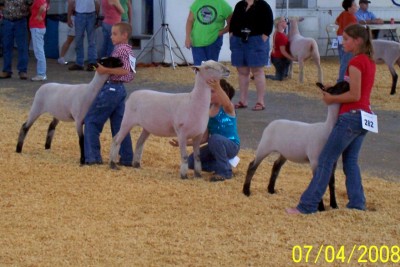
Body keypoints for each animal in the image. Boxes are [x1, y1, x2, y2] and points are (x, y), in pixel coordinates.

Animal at [242, 81, 348, 211]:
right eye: (333, 89)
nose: (346, 82)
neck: (326, 129)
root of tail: (271, 124)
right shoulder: (314, 160)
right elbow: (317, 181)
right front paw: (321, 207)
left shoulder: (332, 161)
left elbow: (331, 183)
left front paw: (334, 205)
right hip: (264, 146)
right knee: (252, 165)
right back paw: (246, 191)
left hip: (284, 152)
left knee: (276, 166)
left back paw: (271, 189)